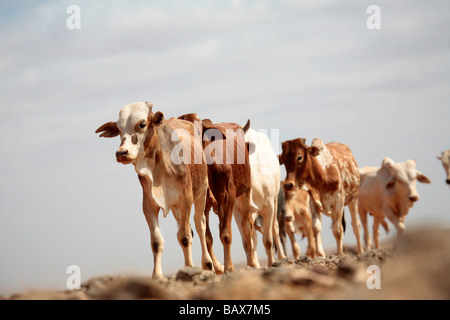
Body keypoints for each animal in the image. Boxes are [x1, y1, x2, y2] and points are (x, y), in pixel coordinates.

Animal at [94, 102, 213, 280]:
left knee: (200, 225)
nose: (121, 152)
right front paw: (157, 276)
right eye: (118, 128)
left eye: (142, 124)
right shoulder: (149, 205)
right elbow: (157, 242)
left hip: (201, 193)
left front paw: (189, 268)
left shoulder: (185, 200)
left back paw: (207, 264)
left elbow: (185, 237)